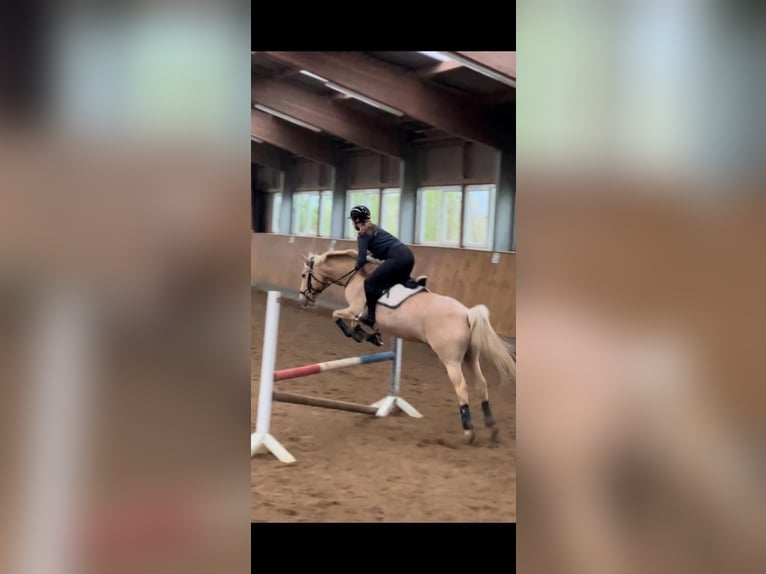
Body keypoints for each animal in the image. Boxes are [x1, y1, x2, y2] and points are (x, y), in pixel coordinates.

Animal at [298, 250, 516, 444]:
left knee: (462, 387)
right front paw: (370, 336)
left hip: (451, 360)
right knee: (481, 383)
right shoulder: (356, 314)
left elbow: (337, 316)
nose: (302, 299)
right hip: (471, 356)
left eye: (303, 275)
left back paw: (469, 431)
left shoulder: (354, 310)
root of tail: (467, 313)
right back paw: (492, 427)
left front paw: (359, 334)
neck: (356, 277)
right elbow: (355, 324)